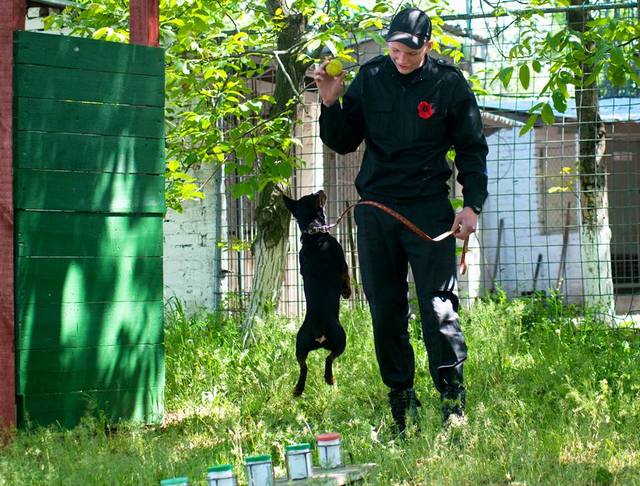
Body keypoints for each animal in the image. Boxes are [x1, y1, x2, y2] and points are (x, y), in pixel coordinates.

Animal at [284, 188, 352, 396]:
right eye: (316, 196)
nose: (321, 190)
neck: (314, 233)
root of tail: (319, 333)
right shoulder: (342, 262)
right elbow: (346, 276)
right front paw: (347, 292)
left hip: (300, 345)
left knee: (303, 366)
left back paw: (298, 389)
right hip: (341, 339)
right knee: (329, 359)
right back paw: (330, 378)